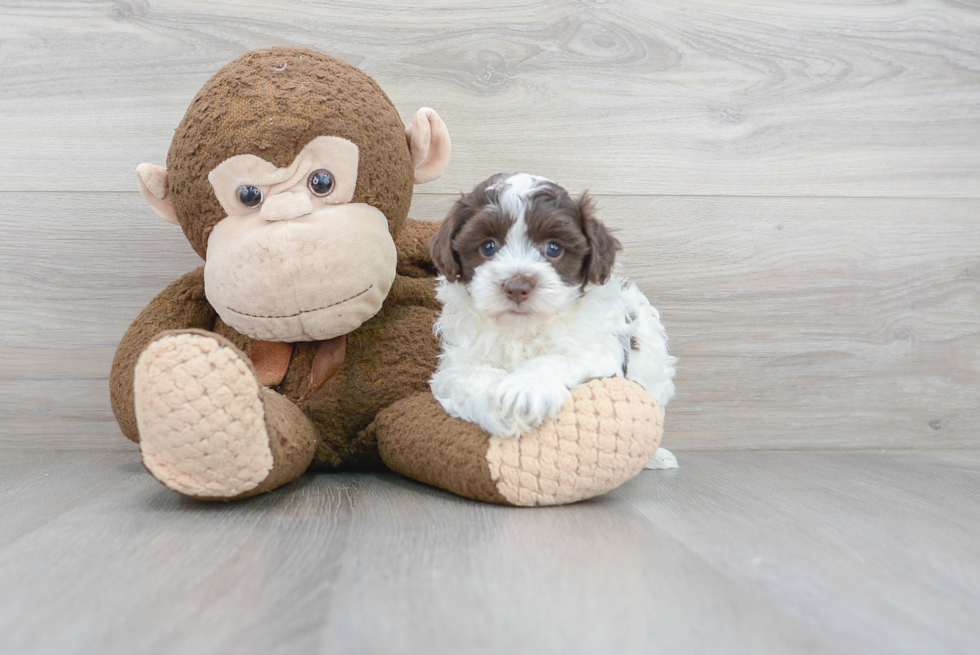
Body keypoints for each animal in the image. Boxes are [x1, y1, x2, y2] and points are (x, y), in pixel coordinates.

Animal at [428, 174, 680, 468]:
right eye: (488, 247)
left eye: (553, 248)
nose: (517, 287)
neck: (522, 329)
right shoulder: (455, 366)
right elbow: (472, 375)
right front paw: (499, 407)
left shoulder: (598, 354)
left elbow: (558, 359)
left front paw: (525, 389)